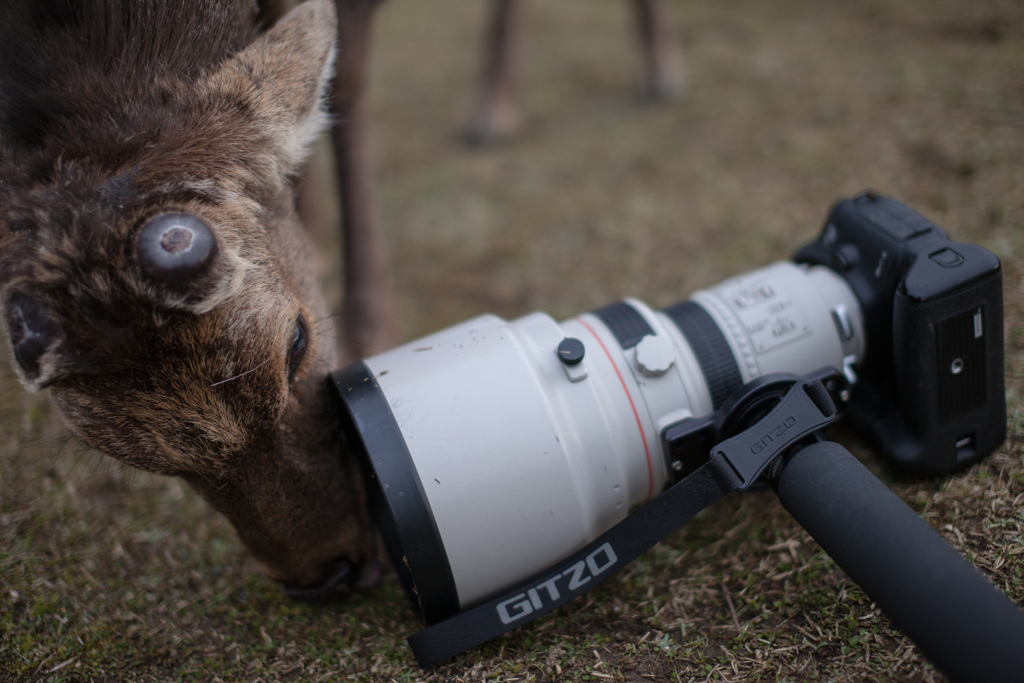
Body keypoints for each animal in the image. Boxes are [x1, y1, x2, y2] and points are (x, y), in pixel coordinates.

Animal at [4, 0, 684, 598]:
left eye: (297, 341)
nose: (323, 577)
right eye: (109, 443)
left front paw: (370, 327)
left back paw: (647, 77)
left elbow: (347, 84)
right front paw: (314, 229)